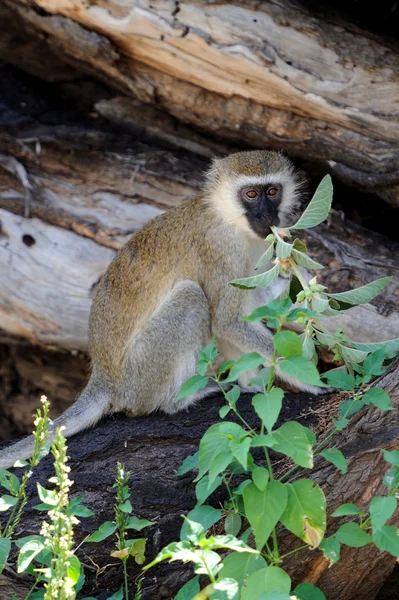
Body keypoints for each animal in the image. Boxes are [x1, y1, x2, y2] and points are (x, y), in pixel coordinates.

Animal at [0, 150, 322, 468]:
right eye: (251, 194)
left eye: (272, 191)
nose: (267, 215)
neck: (229, 218)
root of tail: (106, 379)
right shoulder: (221, 250)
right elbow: (228, 320)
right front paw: (310, 377)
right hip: (141, 374)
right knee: (192, 298)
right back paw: (179, 401)